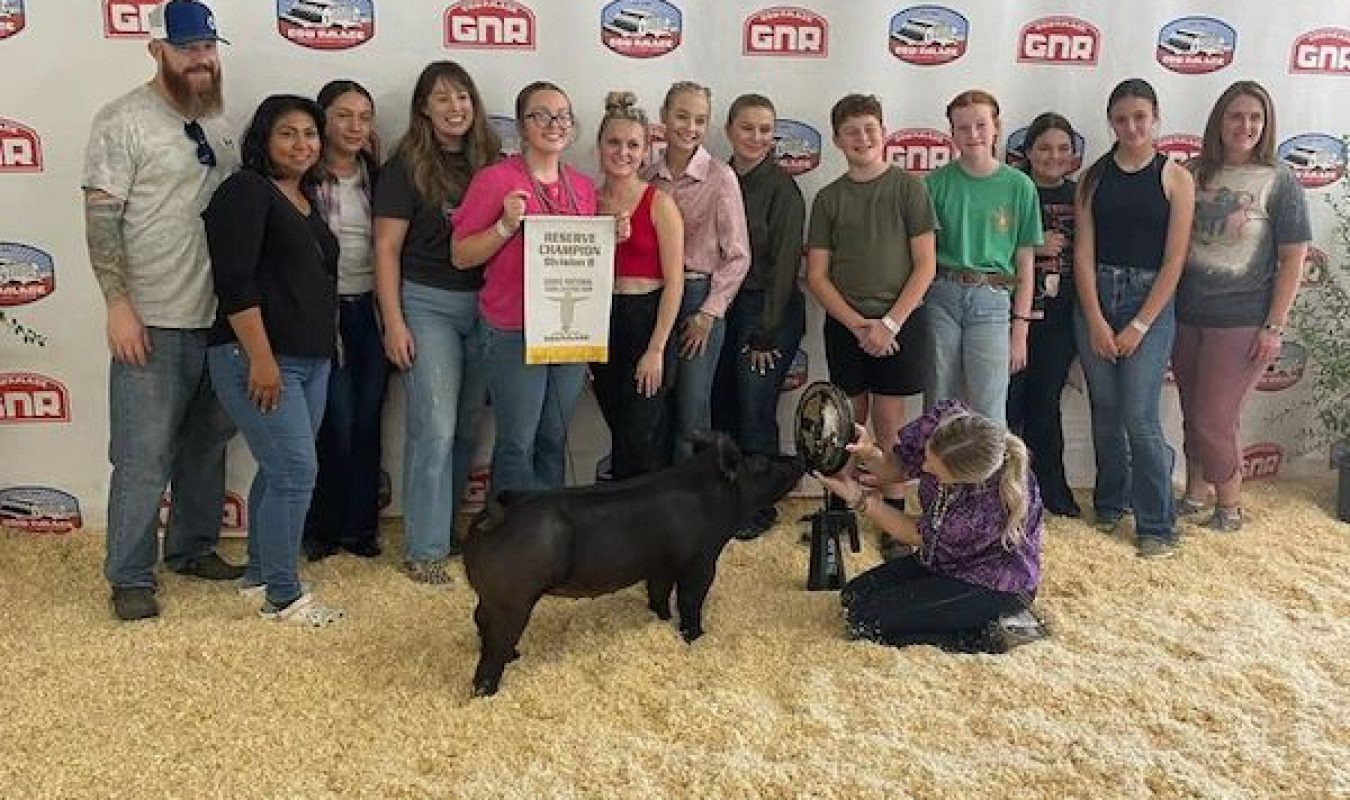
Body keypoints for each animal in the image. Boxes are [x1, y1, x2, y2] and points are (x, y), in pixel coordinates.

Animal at [464, 434, 799, 696]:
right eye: (761, 464)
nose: (798, 458)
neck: (713, 495)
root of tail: (497, 513)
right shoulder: (701, 561)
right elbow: (691, 599)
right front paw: (696, 637)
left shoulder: (660, 565)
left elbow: (659, 594)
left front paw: (661, 620)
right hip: (512, 600)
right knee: (493, 646)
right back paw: (488, 689)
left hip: (491, 597)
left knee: (480, 619)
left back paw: (514, 655)